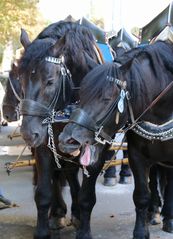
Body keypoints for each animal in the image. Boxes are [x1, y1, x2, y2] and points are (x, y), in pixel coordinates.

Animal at [16, 20, 102, 239]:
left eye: (50, 81)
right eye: (20, 80)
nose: (28, 134)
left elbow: (87, 196)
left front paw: (84, 230)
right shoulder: (44, 144)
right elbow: (43, 192)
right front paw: (42, 231)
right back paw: (58, 212)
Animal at [58, 40, 173, 238]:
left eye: (106, 97)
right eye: (81, 95)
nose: (67, 139)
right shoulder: (137, 156)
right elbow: (141, 195)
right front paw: (141, 231)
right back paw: (154, 212)